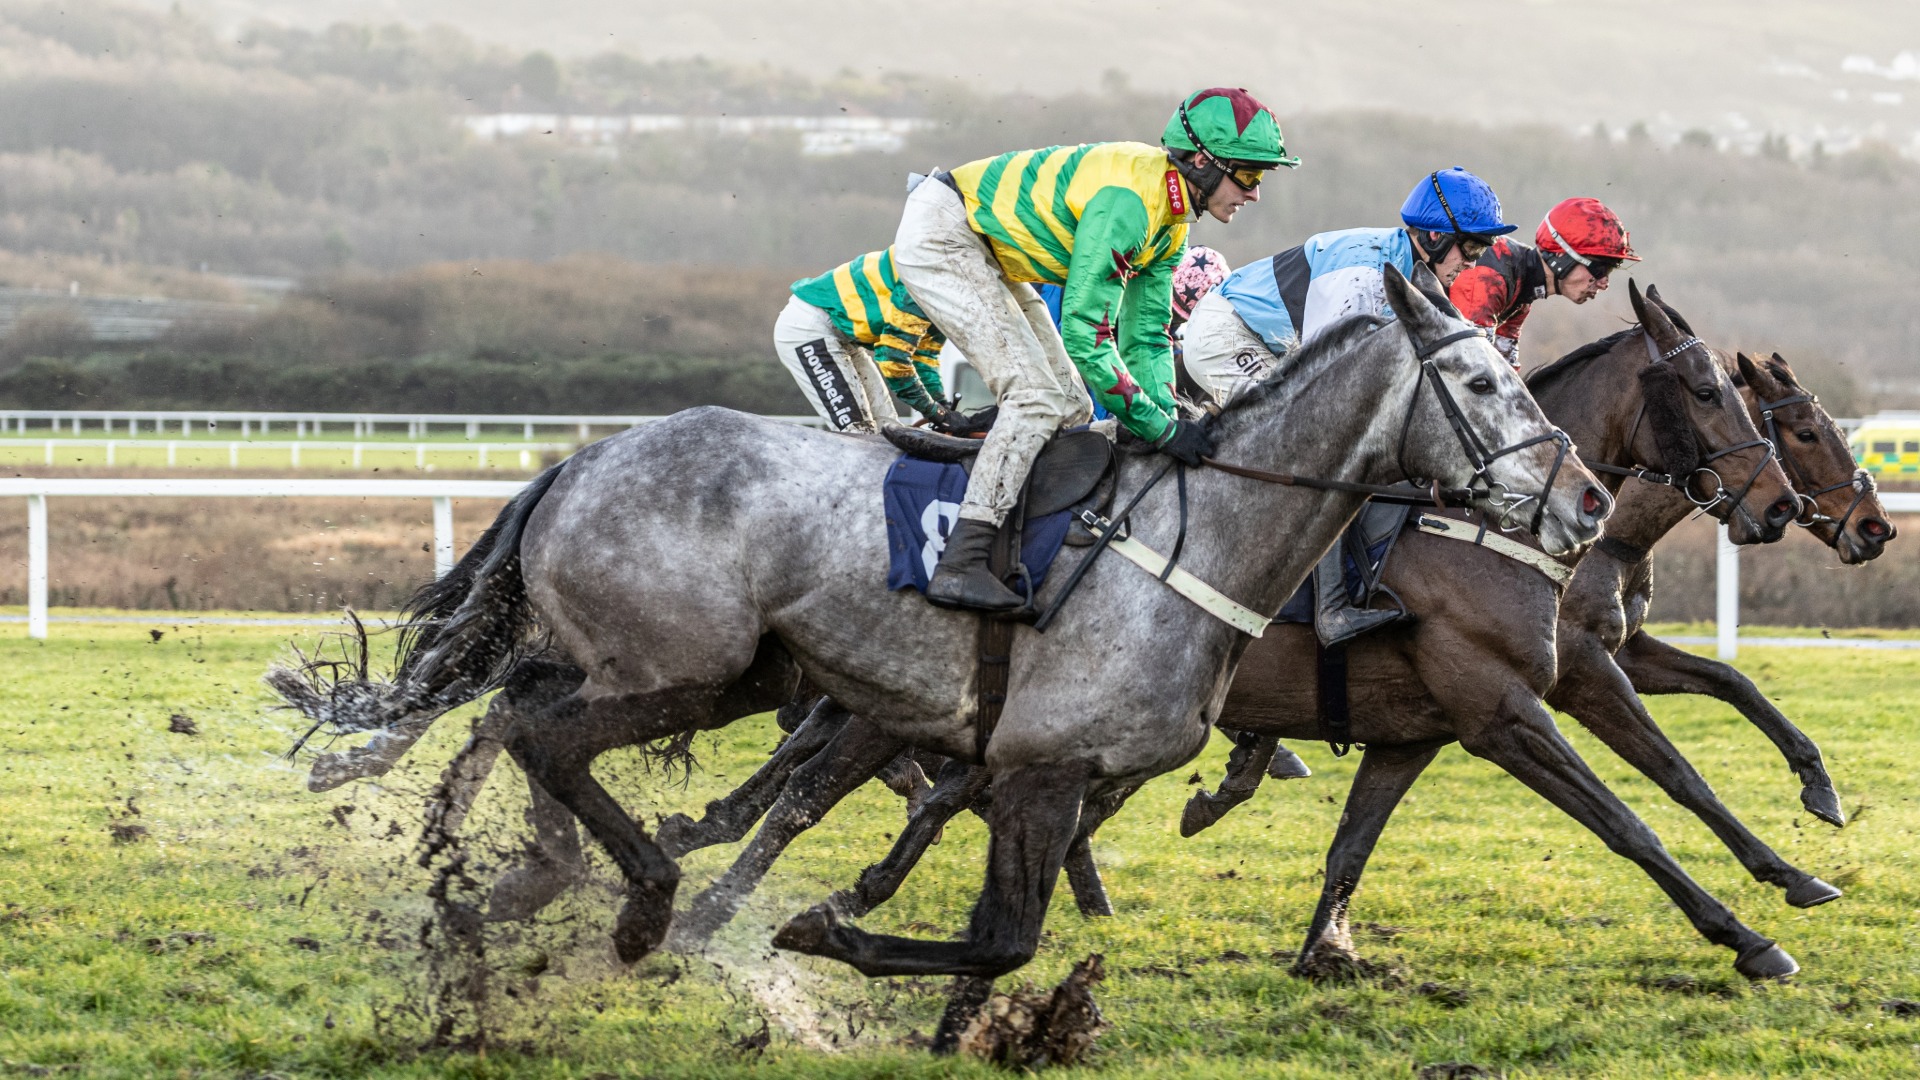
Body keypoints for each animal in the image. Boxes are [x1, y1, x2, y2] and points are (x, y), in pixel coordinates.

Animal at [274, 265, 1605, 972]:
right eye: (1479, 380)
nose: (1586, 501)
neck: (1201, 534)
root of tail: (579, 461)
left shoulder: (1039, 770)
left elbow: (991, 923)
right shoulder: (1039, 765)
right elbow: (995, 934)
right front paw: (820, 930)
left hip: (727, 671)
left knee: (515, 716)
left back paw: (502, 882)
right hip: (682, 667)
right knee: (541, 735)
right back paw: (635, 898)